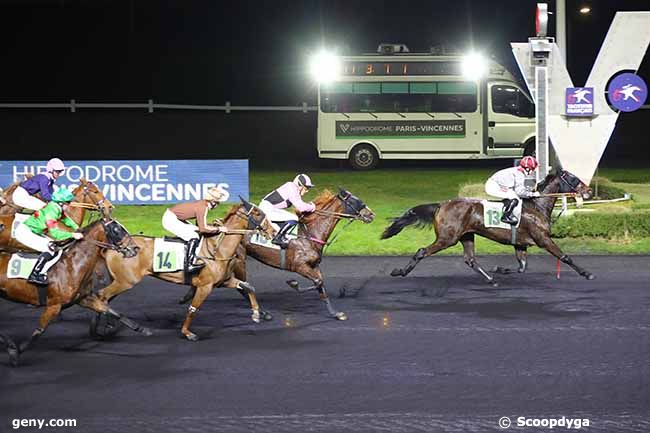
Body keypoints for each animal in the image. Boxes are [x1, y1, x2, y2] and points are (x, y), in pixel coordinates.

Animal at [0, 216, 147, 364]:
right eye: (116, 230)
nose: (135, 248)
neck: (72, 266)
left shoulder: (82, 299)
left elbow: (111, 311)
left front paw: (143, 329)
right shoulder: (54, 305)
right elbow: (39, 330)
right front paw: (16, 352)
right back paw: (10, 346)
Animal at [94, 199, 274, 340]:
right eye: (257, 213)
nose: (272, 231)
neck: (217, 248)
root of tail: (113, 248)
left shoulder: (223, 281)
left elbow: (248, 287)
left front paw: (256, 314)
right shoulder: (205, 286)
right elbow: (193, 308)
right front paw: (187, 332)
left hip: (120, 280)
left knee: (104, 298)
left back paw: (104, 326)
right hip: (126, 281)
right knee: (102, 295)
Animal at [228, 189, 372, 320]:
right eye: (355, 201)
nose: (371, 214)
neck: (309, 233)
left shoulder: (314, 265)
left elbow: (321, 285)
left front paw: (335, 313)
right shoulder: (299, 266)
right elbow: (317, 282)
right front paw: (293, 283)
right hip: (239, 260)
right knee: (243, 286)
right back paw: (263, 313)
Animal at [382, 170, 596, 286]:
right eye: (574, 178)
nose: (589, 191)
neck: (537, 207)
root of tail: (442, 204)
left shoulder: (520, 244)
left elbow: (522, 267)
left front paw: (499, 268)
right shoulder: (543, 239)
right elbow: (564, 257)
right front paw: (587, 273)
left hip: (466, 236)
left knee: (470, 260)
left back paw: (491, 278)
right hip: (447, 238)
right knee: (422, 251)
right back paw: (400, 272)